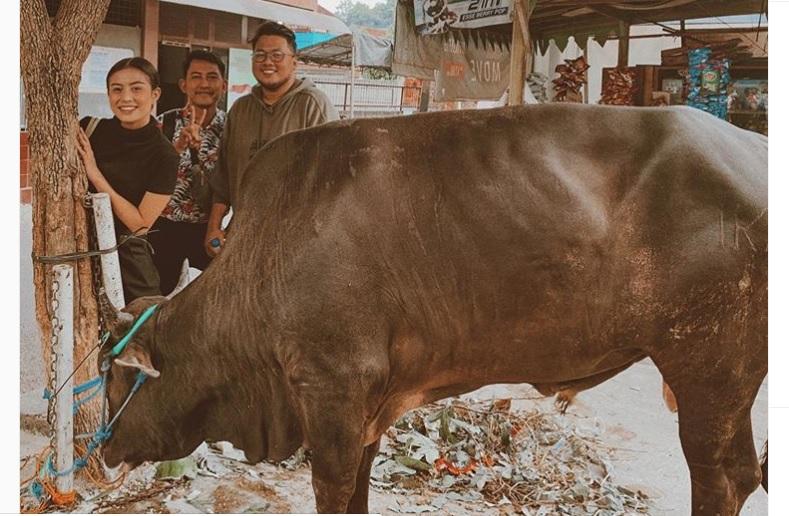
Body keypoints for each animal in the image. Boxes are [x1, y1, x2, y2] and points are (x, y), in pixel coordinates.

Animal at [97, 103, 764, 512]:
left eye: (113, 379)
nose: (100, 453)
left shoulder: (331, 390)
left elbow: (333, 489)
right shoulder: (366, 405)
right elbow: (359, 491)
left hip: (709, 371)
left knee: (718, 478)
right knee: (743, 475)